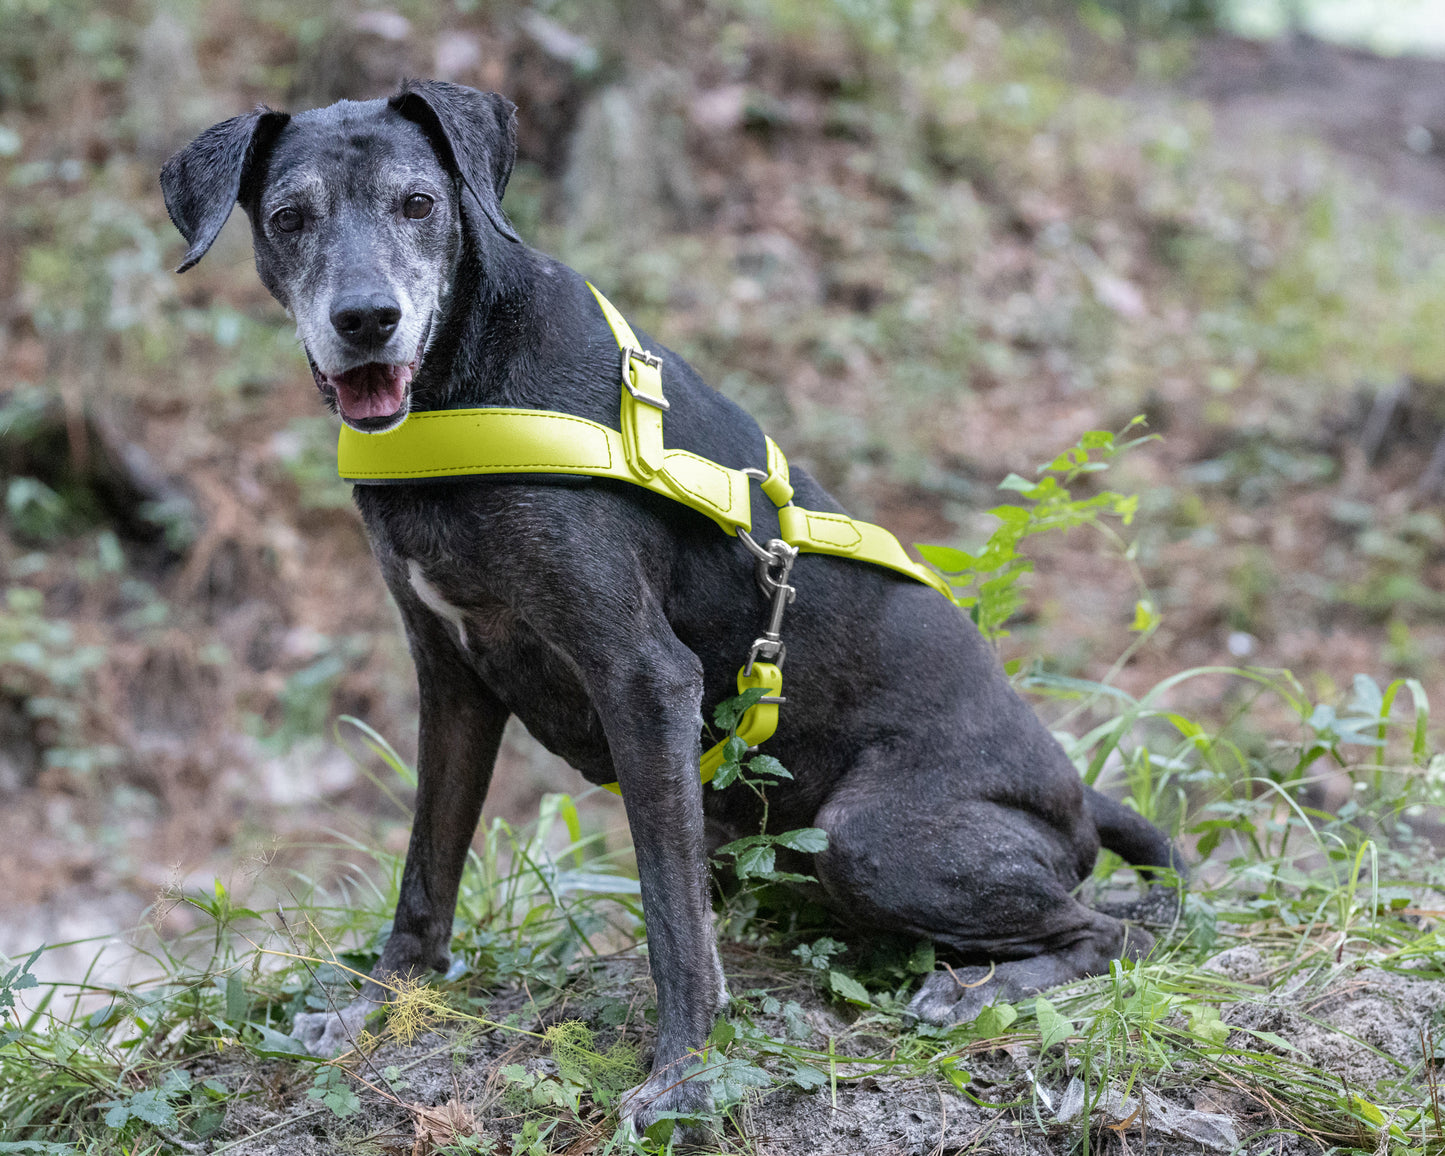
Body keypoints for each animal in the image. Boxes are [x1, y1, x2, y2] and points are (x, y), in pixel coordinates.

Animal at [161, 83, 1173, 1138]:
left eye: (418, 203)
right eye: (289, 217)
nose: (366, 320)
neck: (460, 386)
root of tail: (1077, 797)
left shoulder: (643, 679)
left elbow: (670, 919)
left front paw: (685, 1075)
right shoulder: (451, 679)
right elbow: (424, 871)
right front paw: (379, 1004)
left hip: (872, 836)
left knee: (1116, 933)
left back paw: (978, 990)